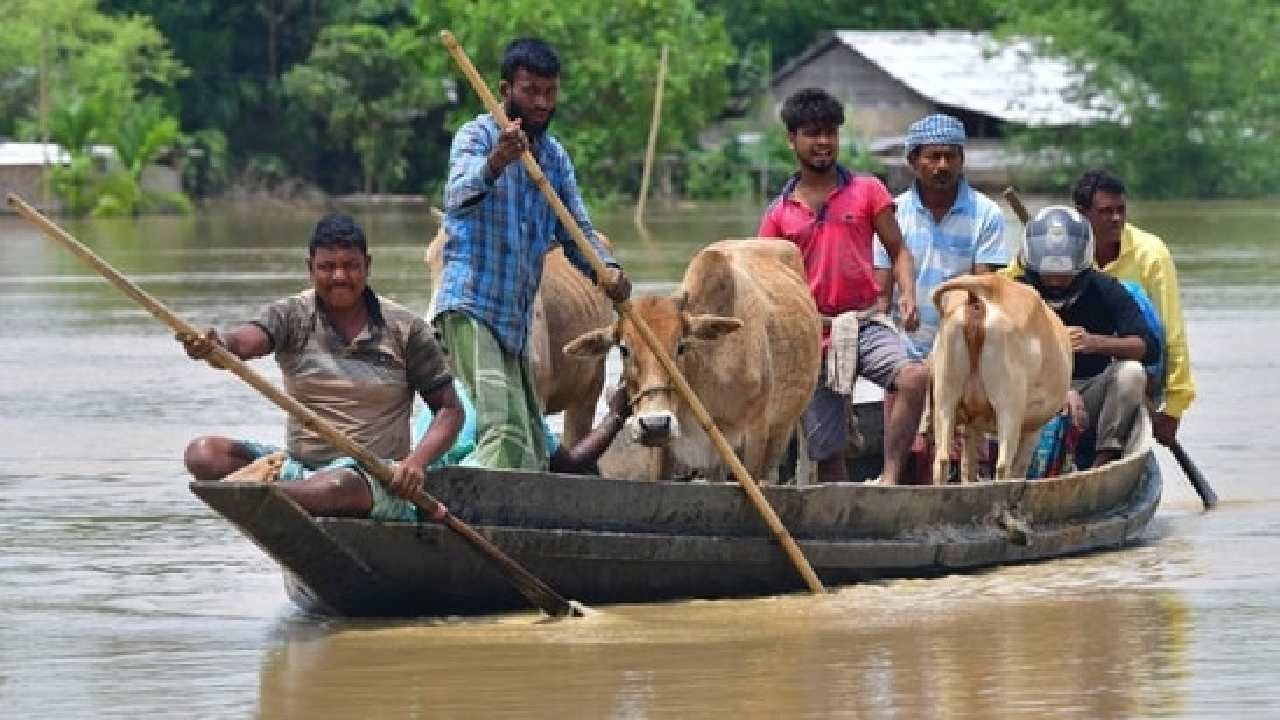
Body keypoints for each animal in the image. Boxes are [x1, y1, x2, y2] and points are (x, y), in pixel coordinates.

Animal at [560, 238, 819, 479]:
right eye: (624, 349)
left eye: (681, 346)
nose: (655, 424)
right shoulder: (666, 449)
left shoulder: (756, 433)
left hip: (784, 426)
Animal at [931, 272, 1070, 481]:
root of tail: (985, 289)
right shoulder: (1033, 427)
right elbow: (1019, 469)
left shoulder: (971, 424)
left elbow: (968, 466)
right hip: (1009, 407)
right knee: (1004, 464)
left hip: (945, 396)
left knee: (942, 459)